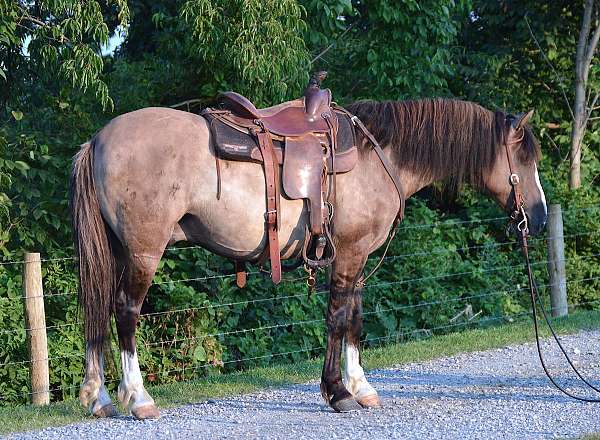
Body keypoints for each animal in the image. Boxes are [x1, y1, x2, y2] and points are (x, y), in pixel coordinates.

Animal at [70, 97, 548, 420]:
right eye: (526, 160)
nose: (540, 218)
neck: (379, 157)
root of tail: (98, 139)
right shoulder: (350, 253)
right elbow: (337, 317)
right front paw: (337, 392)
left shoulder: (357, 257)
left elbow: (354, 318)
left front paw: (361, 386)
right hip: (143, 252)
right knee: (125, 312)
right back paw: (138, 397)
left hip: (117, 253)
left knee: (99, 310)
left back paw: (99, 397)